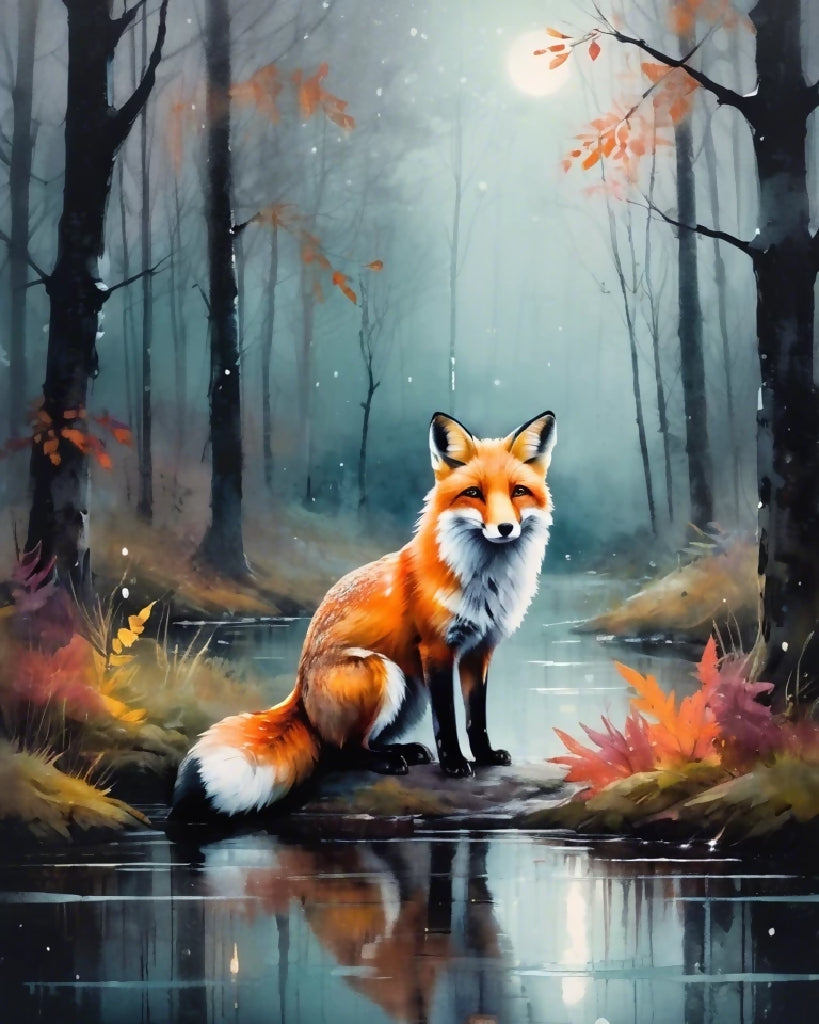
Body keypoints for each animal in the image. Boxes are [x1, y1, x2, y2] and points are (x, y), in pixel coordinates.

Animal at [172, 409, 556, 817]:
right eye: (473, 493)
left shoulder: (479, 649)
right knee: (341, 752)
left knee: (360, 743)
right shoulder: (436, 648)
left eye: (518, 491)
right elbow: (448, 721)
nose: (505, 528)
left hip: (410, 691)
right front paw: (454, 763)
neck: (485, 582)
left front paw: (483, 756)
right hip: (381, 671)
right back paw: (386, 760)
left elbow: (475, 718)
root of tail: (300, 693)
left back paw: (404, 750)